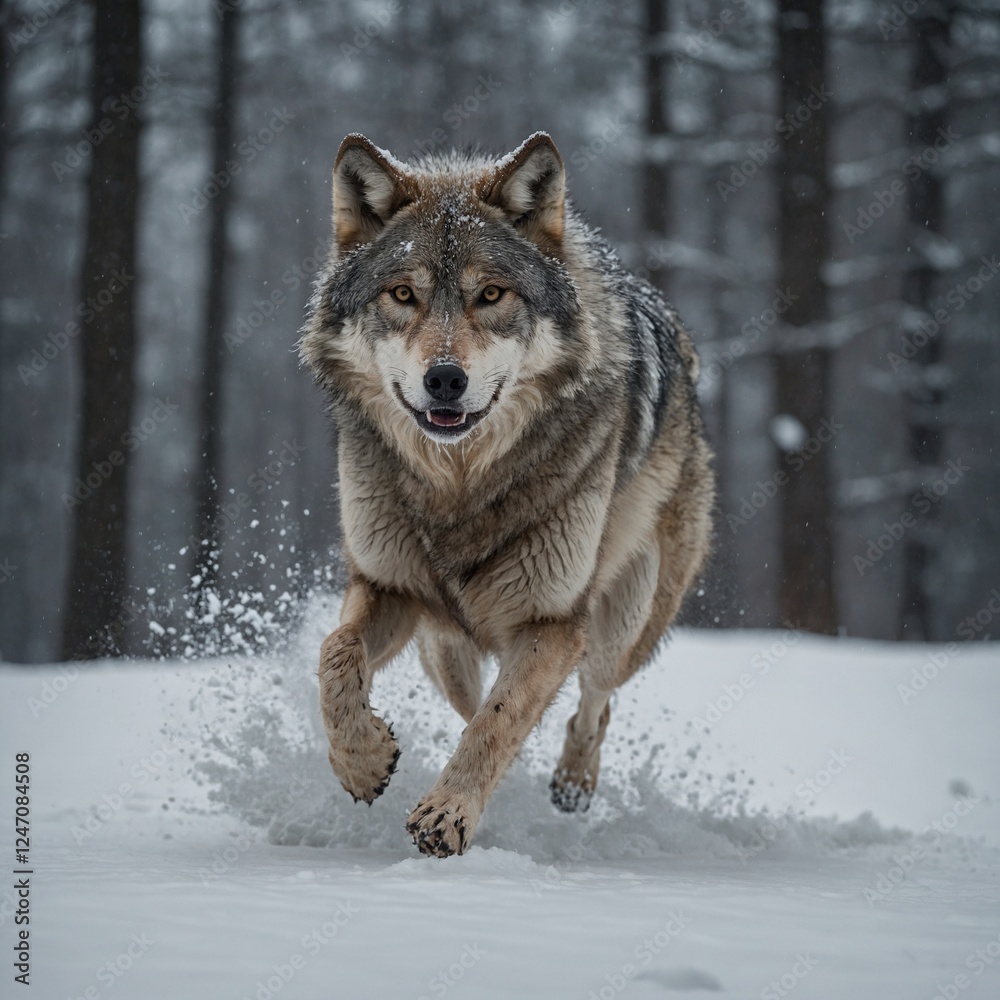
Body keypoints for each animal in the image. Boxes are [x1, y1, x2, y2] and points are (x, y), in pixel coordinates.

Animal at [300, 132, 714, 857]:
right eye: (403, 294)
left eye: (490, 294)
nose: (445, 379)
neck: (460, 483)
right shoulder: (386, 584)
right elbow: (336, 655)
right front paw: (363, 762)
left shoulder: (551, 622)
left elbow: (500, 720)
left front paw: (446, 813)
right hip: (445, 648)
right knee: (474, 703)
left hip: (620, 624)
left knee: (592, 702)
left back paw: (572, 785)